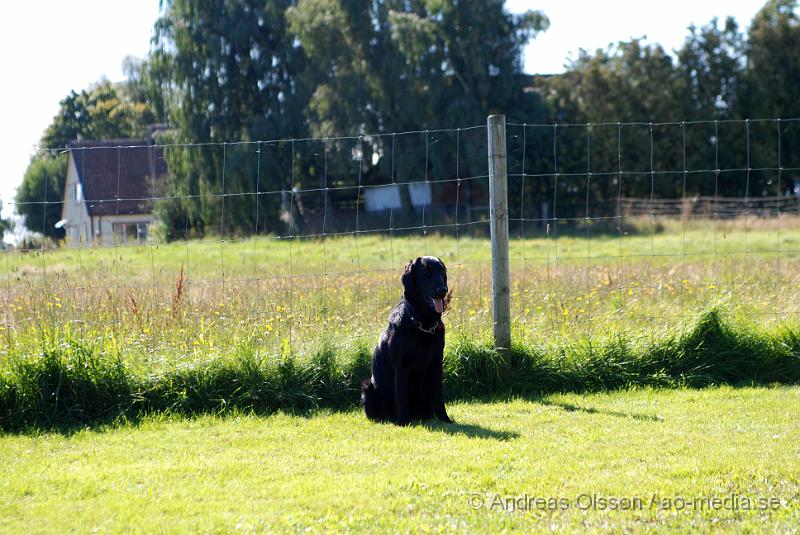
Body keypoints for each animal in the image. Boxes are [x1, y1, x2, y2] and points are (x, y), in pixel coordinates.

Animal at [360, 255, 454, 428]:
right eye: (426, 271)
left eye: (441, 271)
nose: (443, 290)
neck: (422, 324)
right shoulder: (402, 368)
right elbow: (402, 398)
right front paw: (403, 422)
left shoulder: (437, 365)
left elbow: (439, 398)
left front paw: (445, 419)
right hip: (368, 386)